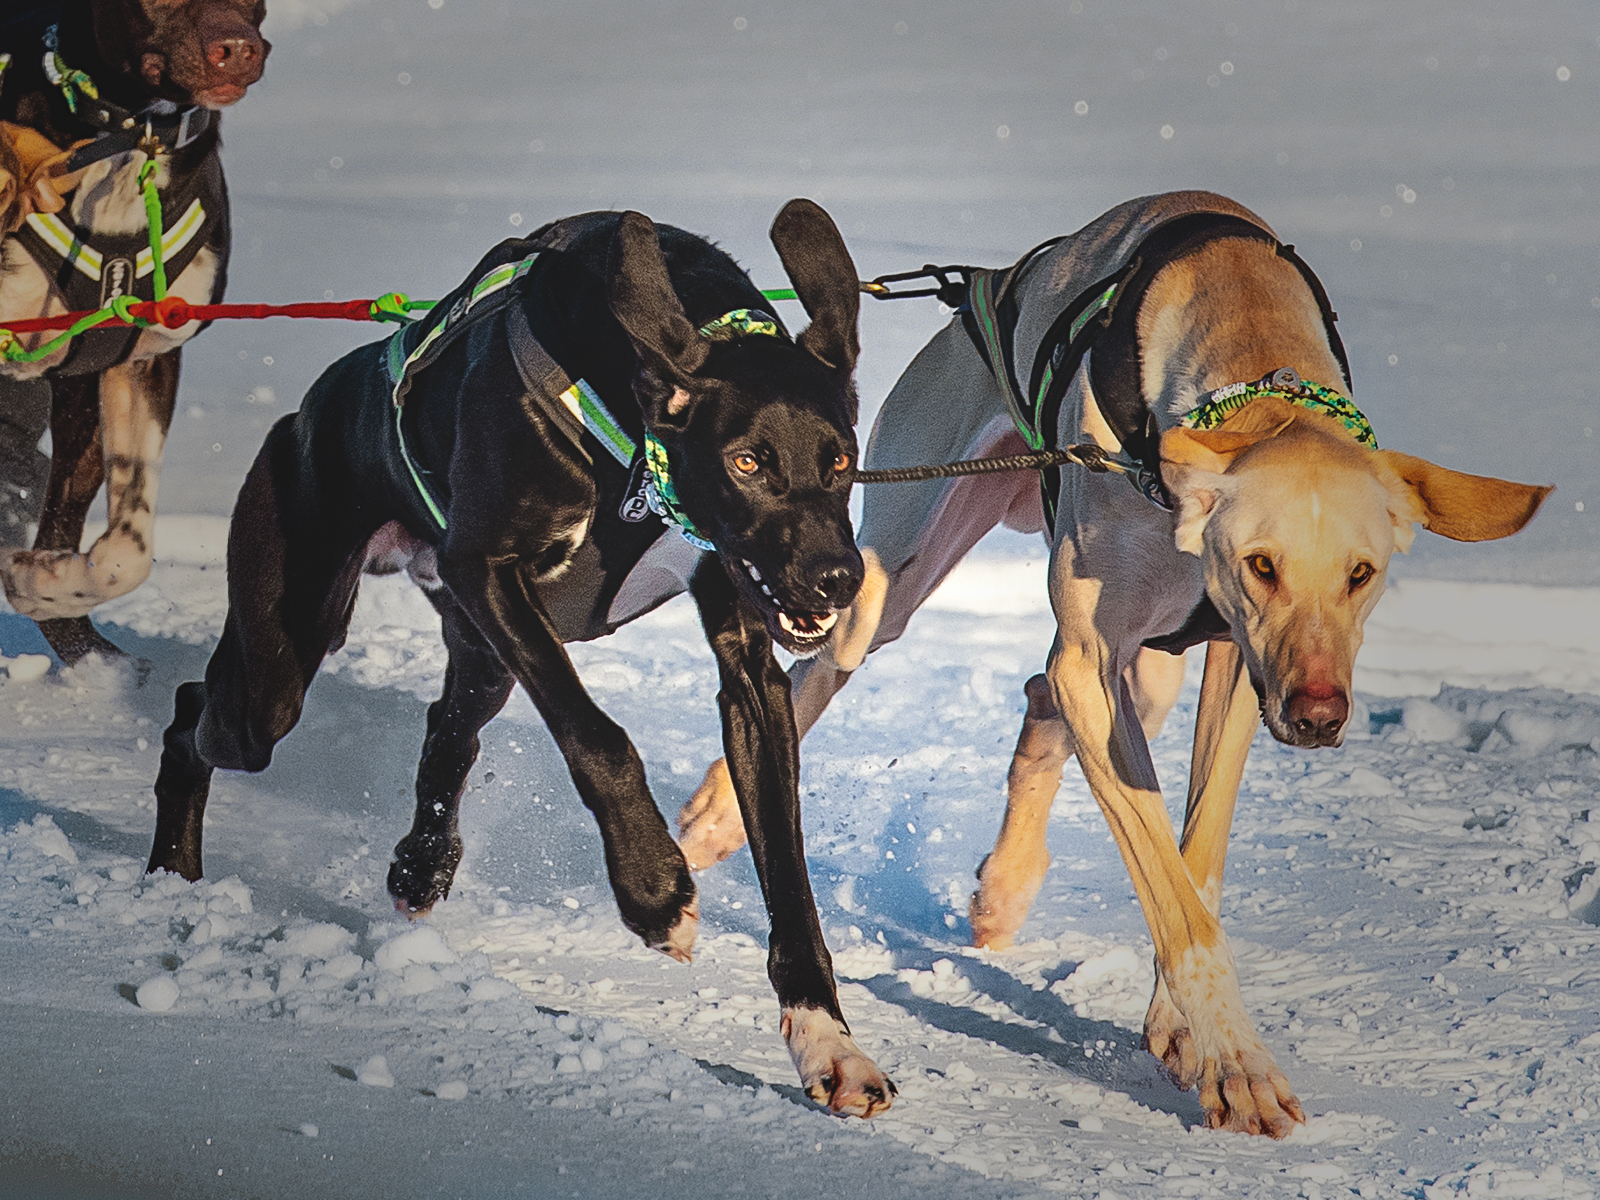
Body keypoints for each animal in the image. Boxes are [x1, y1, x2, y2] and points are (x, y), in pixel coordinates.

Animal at [147, 204, 902, 1120]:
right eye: (747, 462)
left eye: (841, 459)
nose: (838, 576)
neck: (631, 440)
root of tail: (308, 408)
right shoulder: (487, 570)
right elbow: (598, 738)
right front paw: (654, 888)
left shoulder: (748, 668)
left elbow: (788, 873)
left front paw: (829, 1042)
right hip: (281, 666)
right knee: (195, 710)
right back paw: (171, 874)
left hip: (476, 654)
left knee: (448, 730)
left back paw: (421, 866)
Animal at [675, 192, 1548, 1139]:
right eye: (1261, 564)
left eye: (1362, 573)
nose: (1319, 715)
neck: (1249, 337)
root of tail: (977, 285)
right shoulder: (1096, 662)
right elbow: (1171, 887)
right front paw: (1238, 1064)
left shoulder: (1236, 672)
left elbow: (1193, 859)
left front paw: (1182, 1025)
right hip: (891, 579)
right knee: (827, 670)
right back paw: (715, 817)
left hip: (1153, 676)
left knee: (1039, 704)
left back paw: (1005, 888)